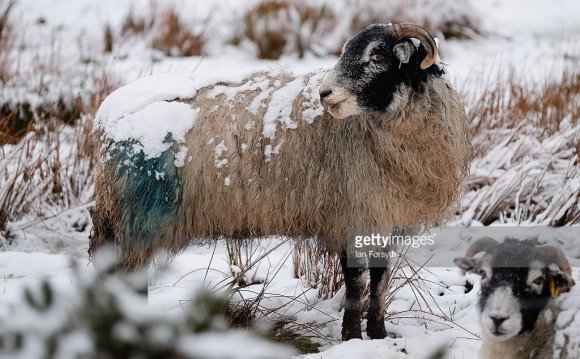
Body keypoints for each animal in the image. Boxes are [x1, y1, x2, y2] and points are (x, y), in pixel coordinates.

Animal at [90, 23, 472, 342]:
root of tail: (106, 117)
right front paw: (351, 338)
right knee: (127, 274)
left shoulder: (384, 218)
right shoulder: (348, 213)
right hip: (140, 216)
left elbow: (379, 282)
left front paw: (377, 335)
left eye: (377, 56)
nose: (324, 93)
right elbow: (354, 284)